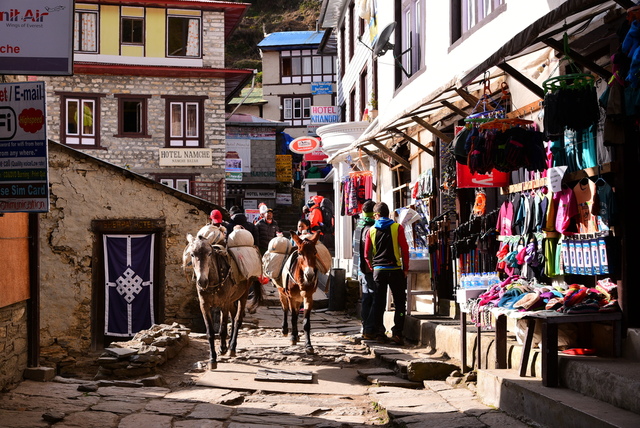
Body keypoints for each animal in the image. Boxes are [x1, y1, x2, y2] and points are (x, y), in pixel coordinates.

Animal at [181, 231, 262, 368]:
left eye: (209, 253)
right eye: (192, 254)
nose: (202, 281)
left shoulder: (224, 304)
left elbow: (222, 328)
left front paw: (222, 349)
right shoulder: (204, 305)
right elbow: (210, 332)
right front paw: (212, 358)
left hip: (243, 295)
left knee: (238, 320)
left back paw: (232, 348)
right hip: (232, 300)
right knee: (233, 318)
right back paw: (229, 345)